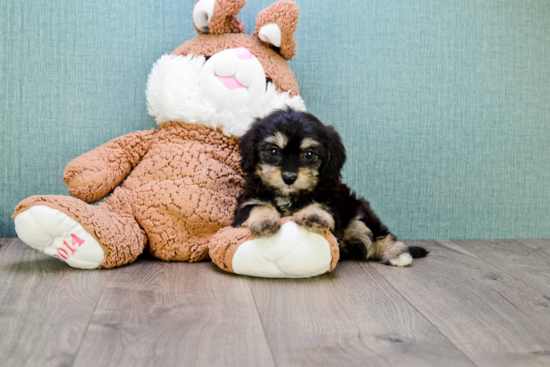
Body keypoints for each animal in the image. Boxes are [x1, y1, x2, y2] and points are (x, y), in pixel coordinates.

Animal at [234, 108, 432, 266]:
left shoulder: (331, 201)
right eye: (273, 151)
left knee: (376, 234)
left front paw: (314, 215)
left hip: (358, 213)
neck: (290, 195)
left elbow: (322, 205)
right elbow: (257, 206)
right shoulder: (248, 199)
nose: (289, 178)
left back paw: (397, 254)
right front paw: (264, 221)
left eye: (308, 154)